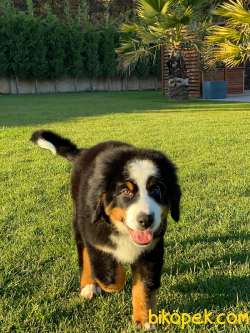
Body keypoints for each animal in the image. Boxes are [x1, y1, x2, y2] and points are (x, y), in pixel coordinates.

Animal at [31, 129, 181, 326]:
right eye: (125, 191)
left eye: (156, 189)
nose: (146, 220)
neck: (122, 231)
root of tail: (84, 152)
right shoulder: (95, 240)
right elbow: (111, 278)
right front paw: (117, 276)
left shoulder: (151, 249)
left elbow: (144, 285)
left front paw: (144, 319)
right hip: (79, 222)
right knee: (84, 254)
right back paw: (88, 286)